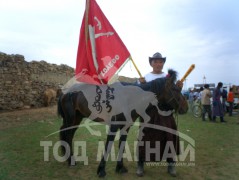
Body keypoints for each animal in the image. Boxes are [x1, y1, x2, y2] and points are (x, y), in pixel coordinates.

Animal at [57, 69, 188, 177]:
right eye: (175, 89)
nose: (185, 108)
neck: (129, 98)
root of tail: (65, 91)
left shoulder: (126, 127)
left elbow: (122, 145)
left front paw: (120, 168)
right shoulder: (114, 127)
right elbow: (108, 146)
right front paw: (101, 170)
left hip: (77, 118)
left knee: (69, 135)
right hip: (71, 118)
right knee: (67, 135)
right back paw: (71, 161)